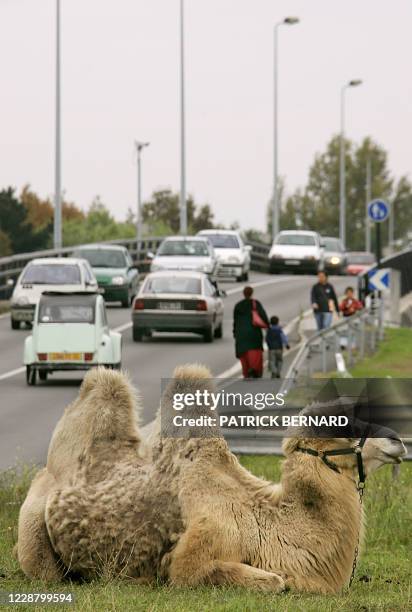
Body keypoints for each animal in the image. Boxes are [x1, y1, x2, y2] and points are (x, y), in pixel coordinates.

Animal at [16, 364, 406, 592]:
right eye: (345, 427)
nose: (398, 440)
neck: (265, 519)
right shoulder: (193, 557)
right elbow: (274, 581)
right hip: (33, 536)